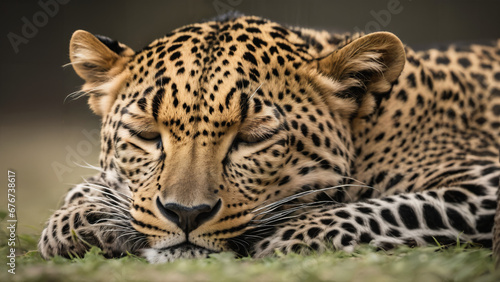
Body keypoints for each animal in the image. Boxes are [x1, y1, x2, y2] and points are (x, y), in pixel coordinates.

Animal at [39, 14, 500, 264]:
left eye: (250, 138)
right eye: (147, 135)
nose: (186, 215)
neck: (371, 132)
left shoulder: (484, 183)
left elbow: (390, 208)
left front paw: (285, 237)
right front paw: (78, 219)